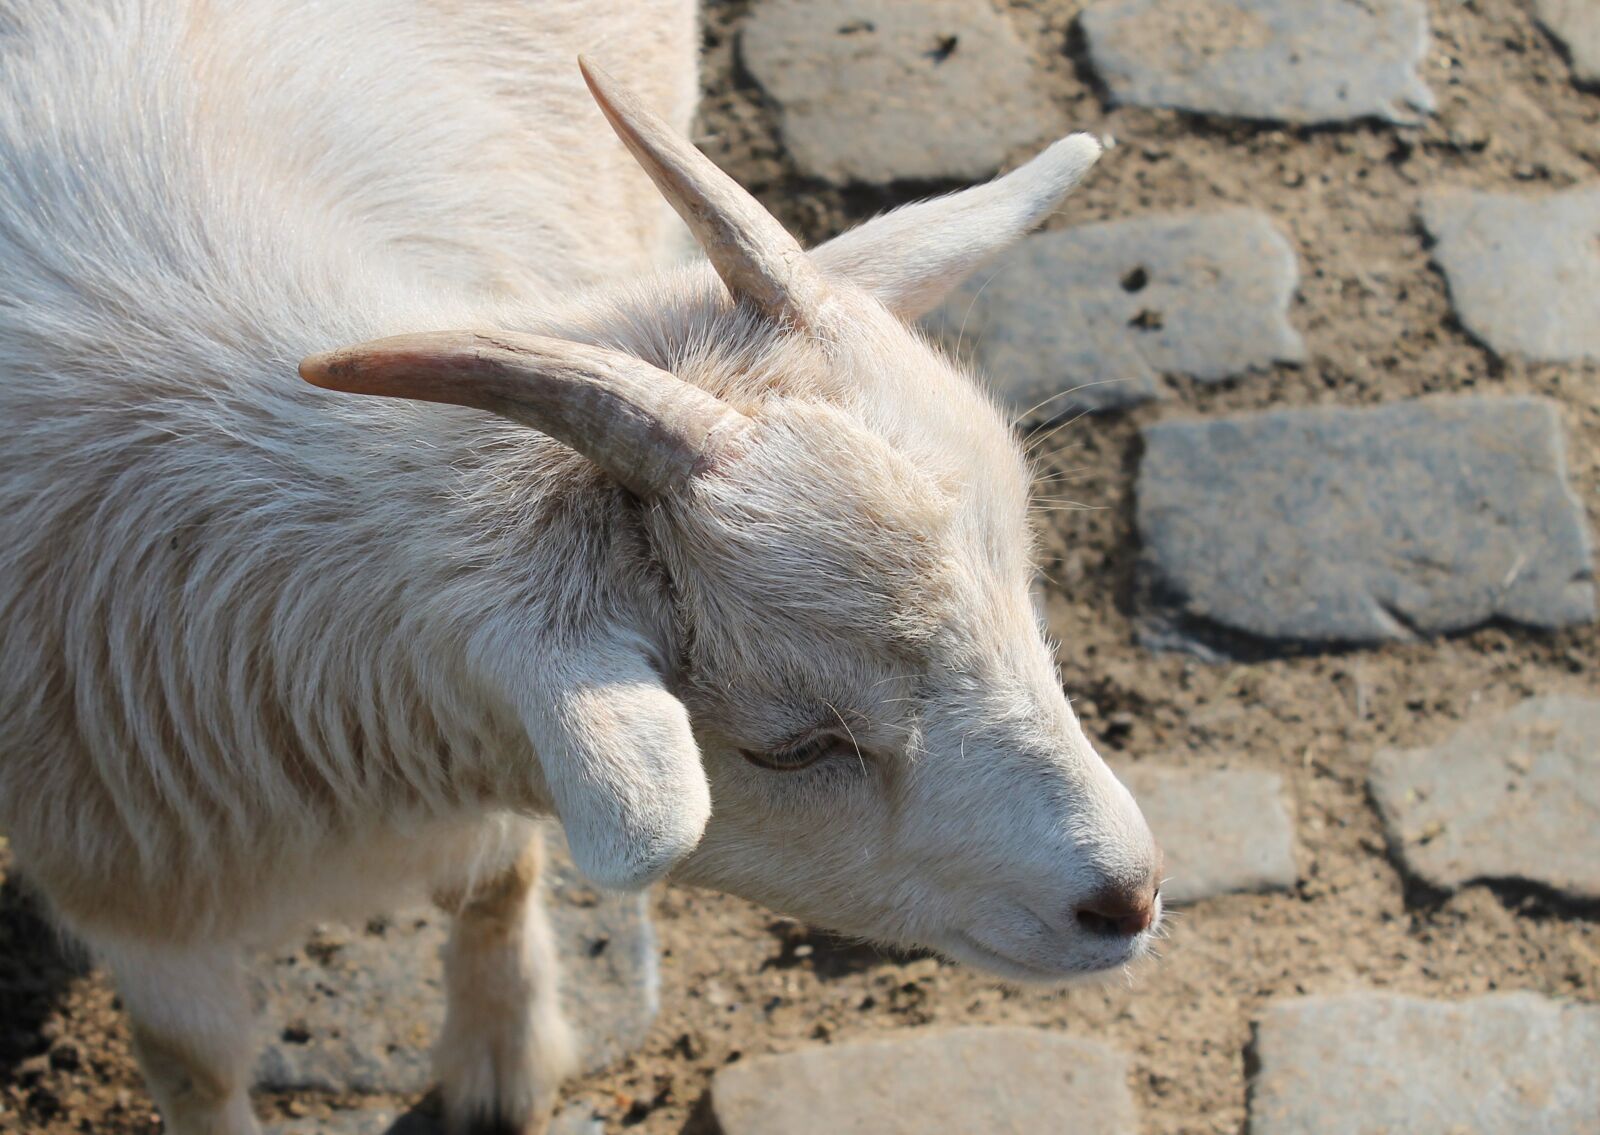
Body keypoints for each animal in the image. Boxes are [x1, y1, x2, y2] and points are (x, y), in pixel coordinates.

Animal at [0, 2, 1162, 1132]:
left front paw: (503, 1058)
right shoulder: (123, 881)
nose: (1132, 895)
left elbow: (498, 875)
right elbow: (192, 1062)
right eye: (792, 746)